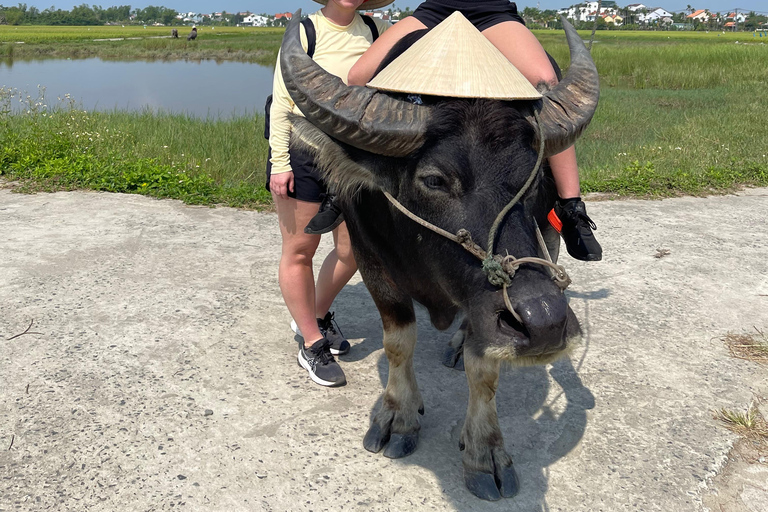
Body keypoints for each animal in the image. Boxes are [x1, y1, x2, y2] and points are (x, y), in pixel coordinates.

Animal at [280, 11, 596, 500]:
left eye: (537, 176)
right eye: (434, 180)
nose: (544, 322)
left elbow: (484, 367)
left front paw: (484, 451)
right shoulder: (372, 261)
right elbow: (398, 341)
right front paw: (397, 418)